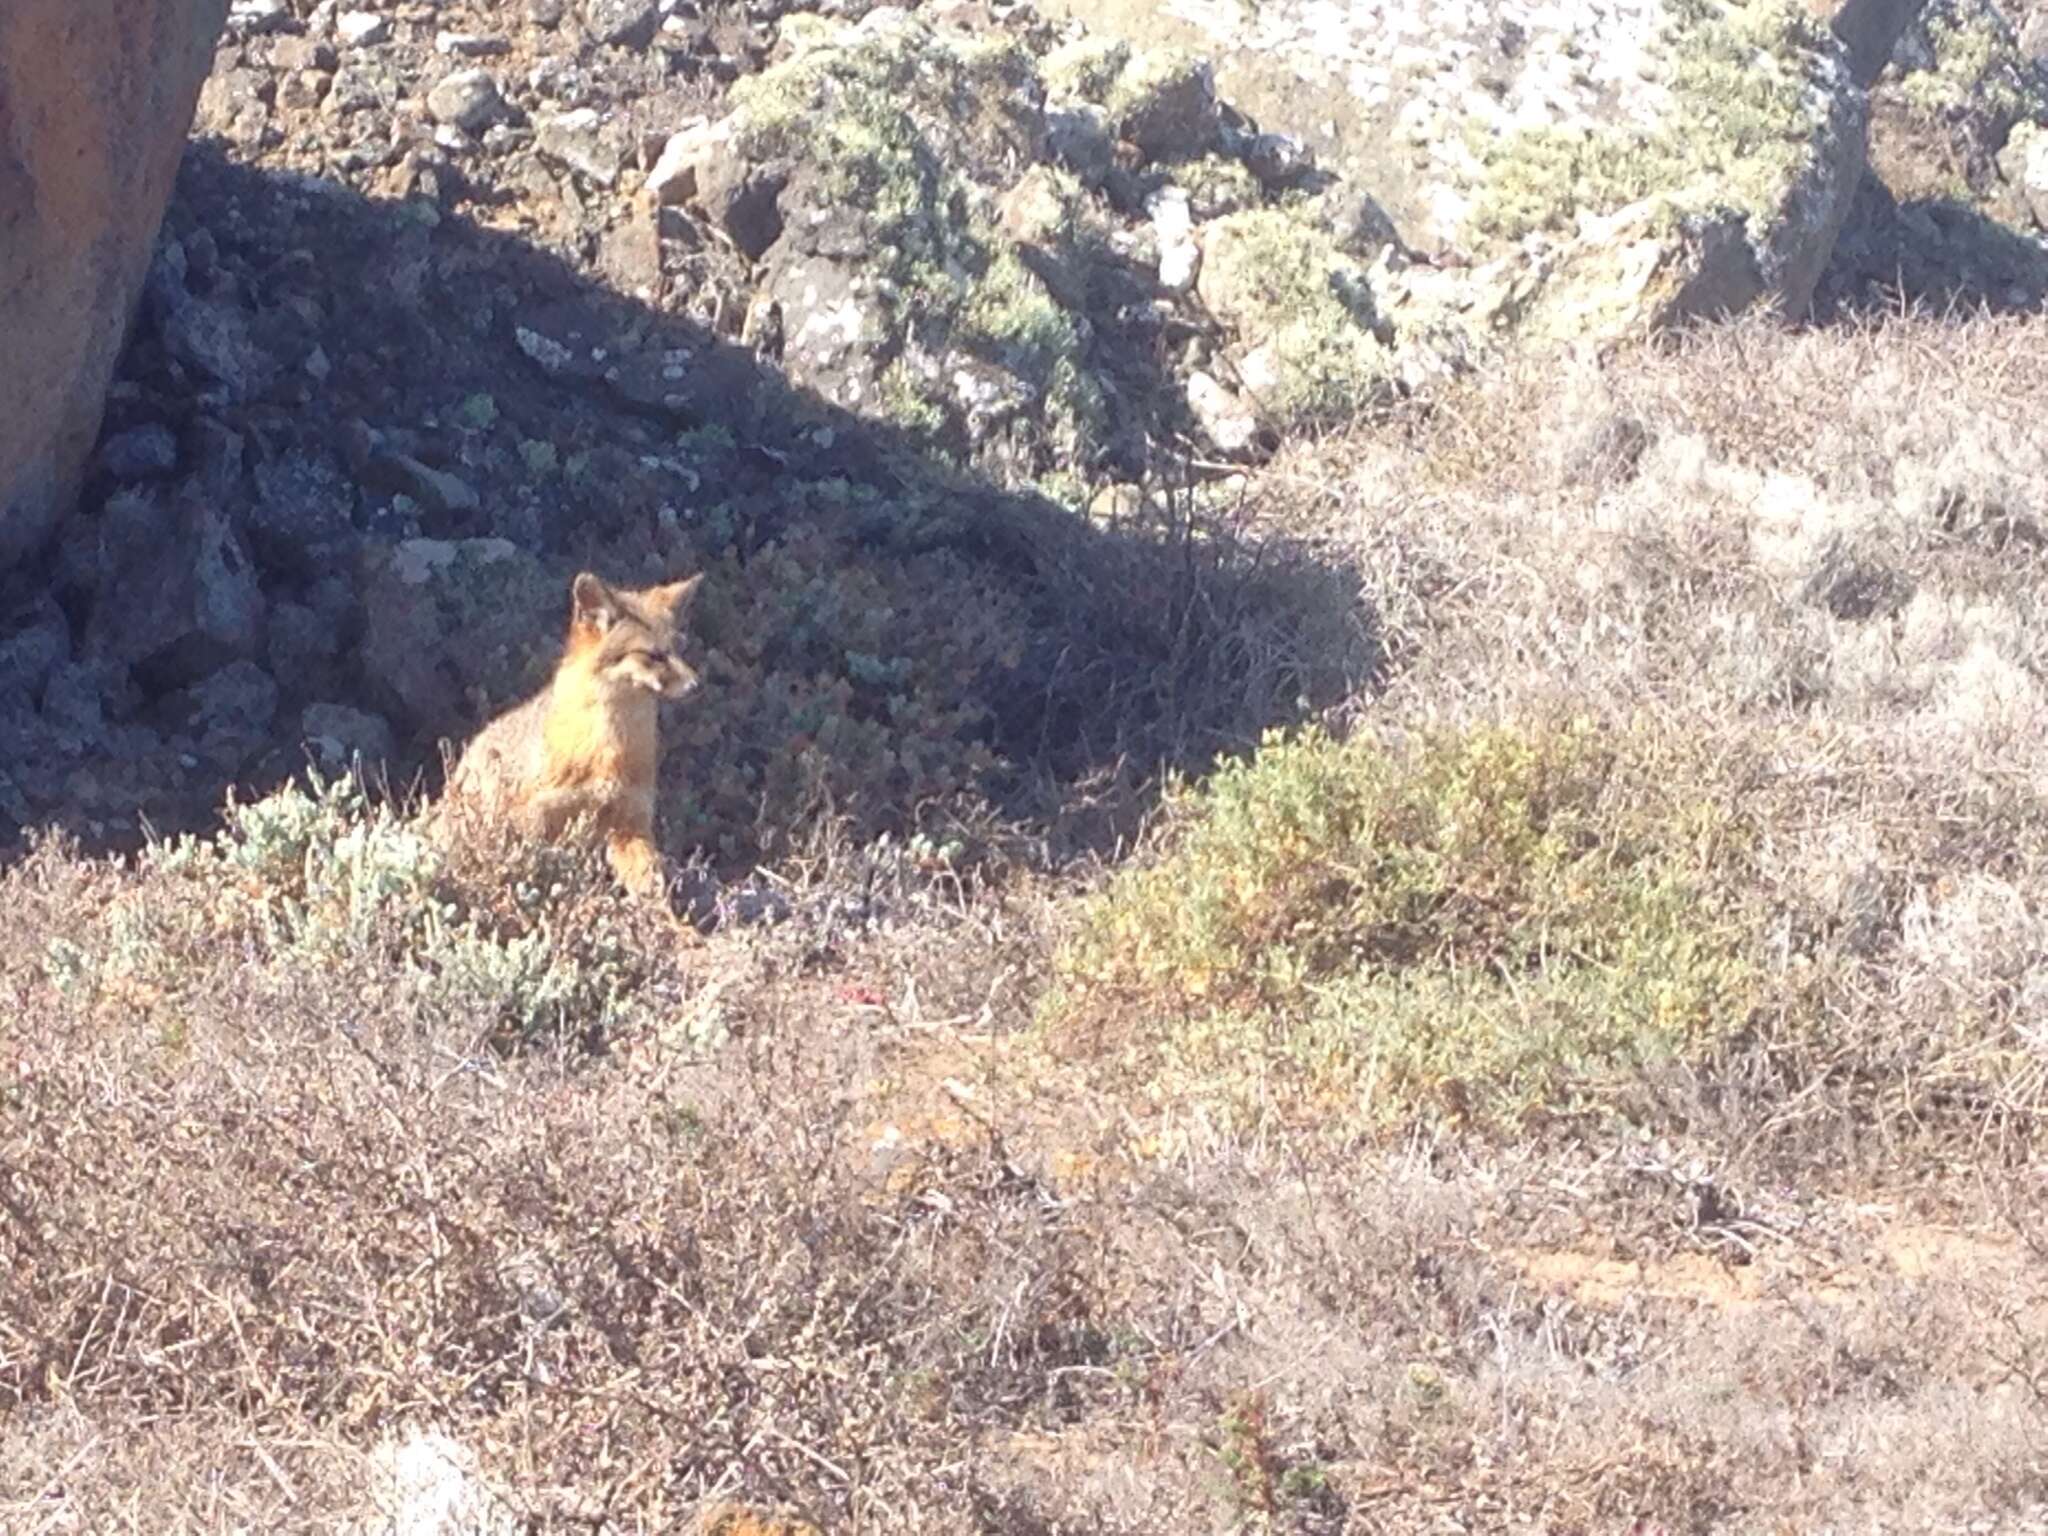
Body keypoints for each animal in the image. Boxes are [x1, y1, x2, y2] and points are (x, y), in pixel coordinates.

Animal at [434, 573, 704, 909]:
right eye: (653, 655)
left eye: (680, 649)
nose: (696, 685)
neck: (607, 751)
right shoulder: (538, 814)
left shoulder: (630, 821)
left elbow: (652, 888)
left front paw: (666, 921)